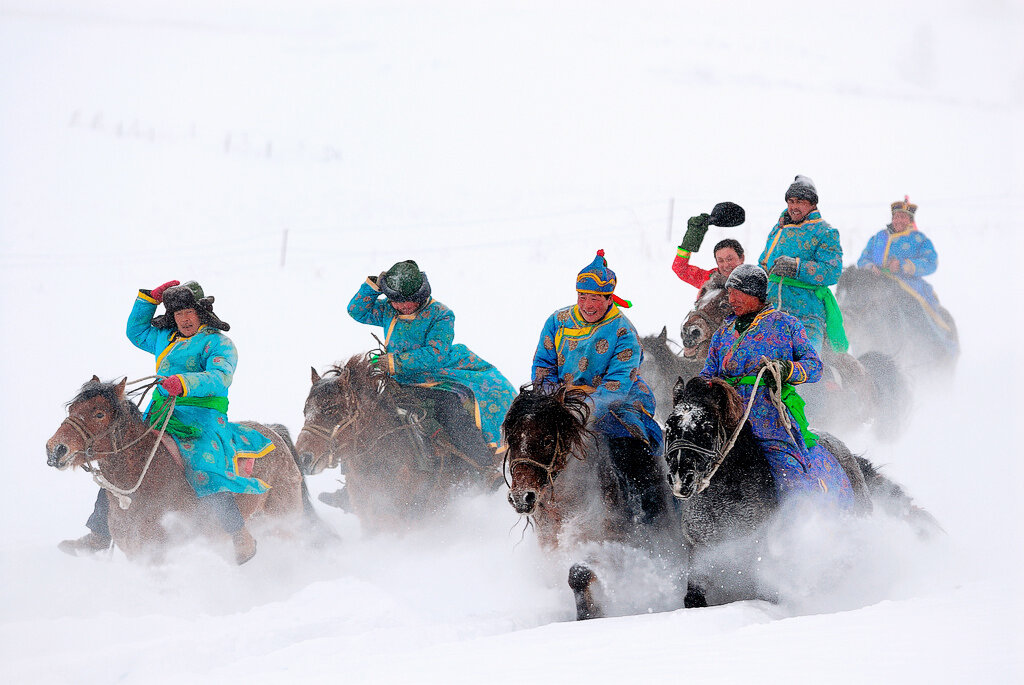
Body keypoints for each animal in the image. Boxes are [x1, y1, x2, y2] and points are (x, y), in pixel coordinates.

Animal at [503, 382, 688, 622]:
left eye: (547, 440)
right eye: (512, 440)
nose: (521, 497)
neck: (567, 501)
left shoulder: (609, 546)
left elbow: (578, 574)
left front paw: (588, 615)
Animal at [663, 376, 942, 606]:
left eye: (707, 427)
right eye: (669, 426)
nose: (681, 479)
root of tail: (849, 457)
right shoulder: (700, 550)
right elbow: (694, 597)